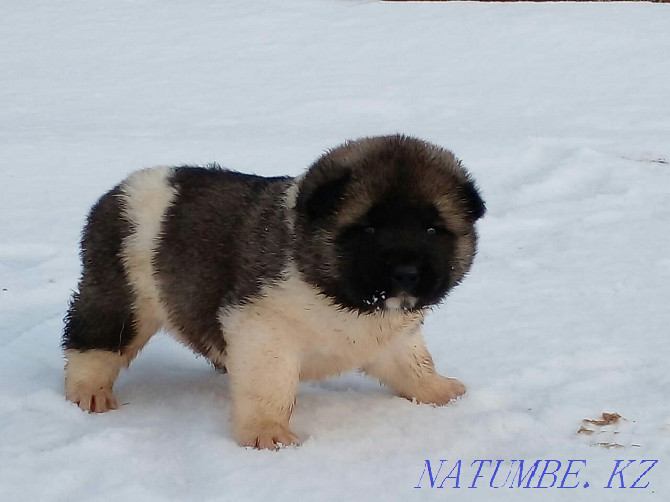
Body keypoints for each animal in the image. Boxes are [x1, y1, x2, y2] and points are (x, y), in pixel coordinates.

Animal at [63, 134, 486, 452]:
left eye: (432, 230)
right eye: (368, 229)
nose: (406, 273)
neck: (339, 295)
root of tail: (118, 191)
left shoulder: (392, 336)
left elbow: (414, 363)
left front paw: (439, 391)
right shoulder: (262, 329)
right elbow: (270, 388)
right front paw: (267, 433)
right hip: (121, 293)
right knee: (93, 341)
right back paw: (89, 392)